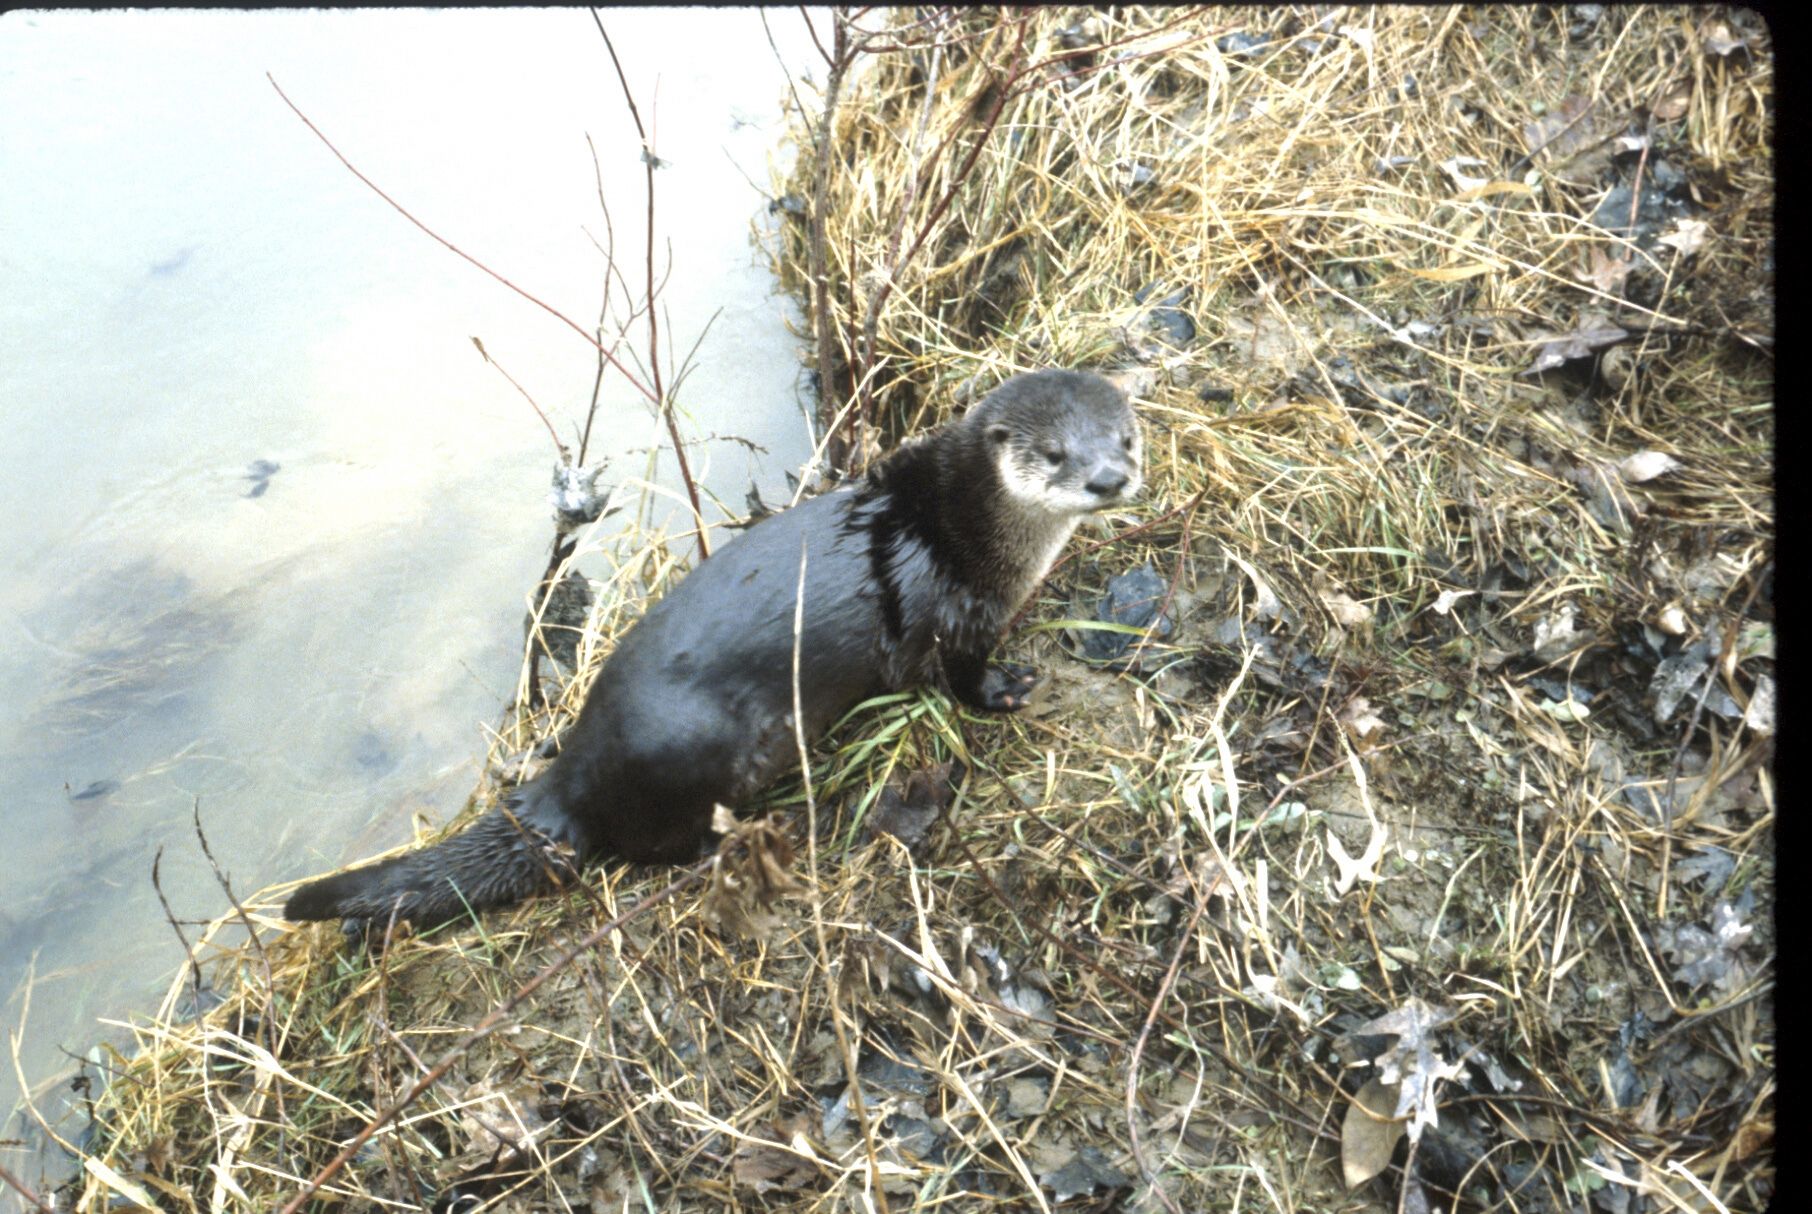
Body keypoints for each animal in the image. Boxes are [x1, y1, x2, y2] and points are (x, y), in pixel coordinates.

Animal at [285, 369, 1142, 925]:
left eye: (1126, 438)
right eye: (1056, 453)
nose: (1108, 479)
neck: (964, 528)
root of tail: (573, 777)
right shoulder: (958, 614)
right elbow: (961, 679)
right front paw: (1008, 689)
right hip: (704, 750)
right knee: (654, 847)